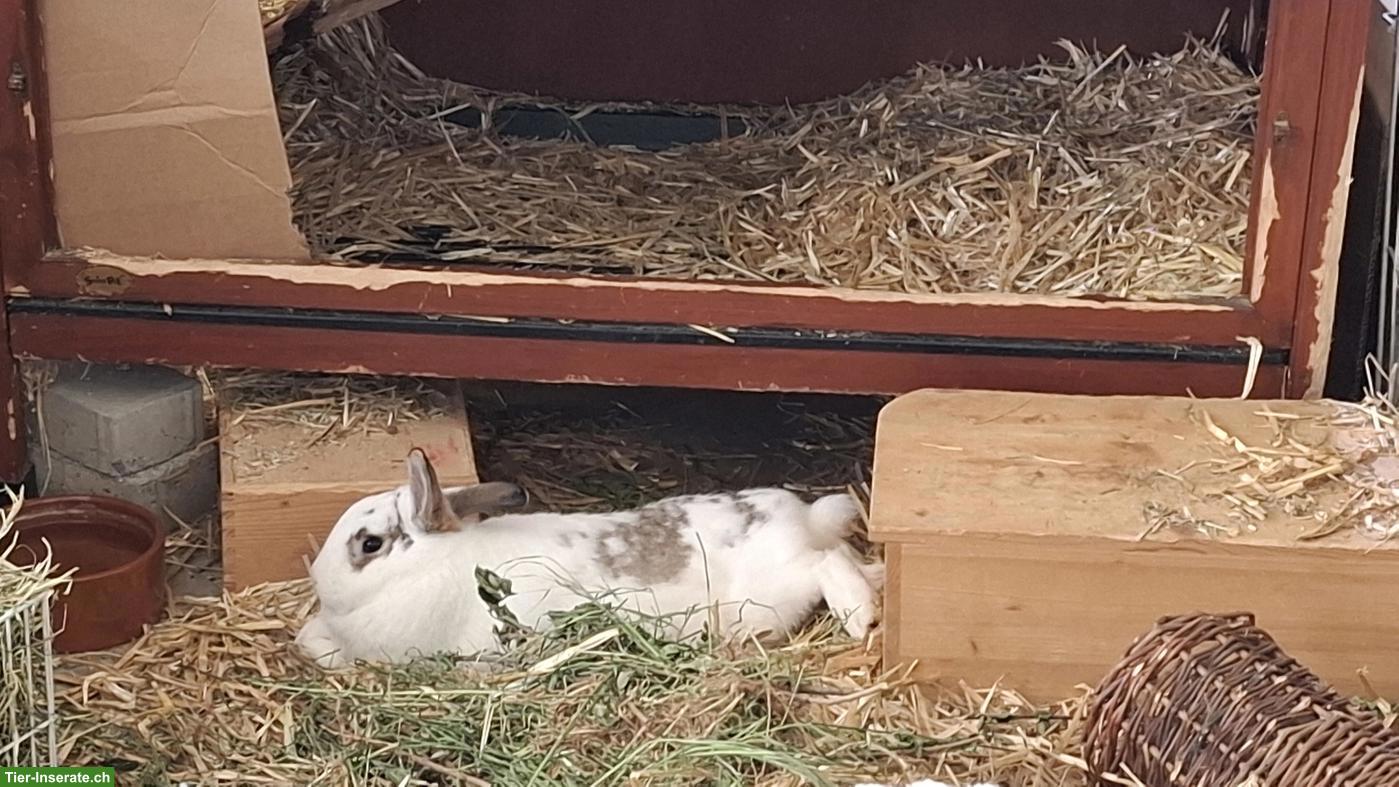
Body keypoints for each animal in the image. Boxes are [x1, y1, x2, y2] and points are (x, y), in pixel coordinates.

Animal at [296, 448, 884, 668]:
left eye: (369, 544)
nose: (318, 575)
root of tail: (799, 519)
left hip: (769, 593)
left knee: (825, 567)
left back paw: (859, 617)